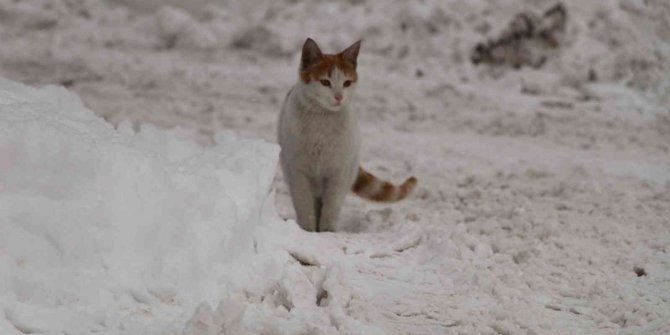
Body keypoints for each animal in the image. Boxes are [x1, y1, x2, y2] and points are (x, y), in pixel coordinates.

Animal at [276, 38, 414, 232]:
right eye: (325, 82)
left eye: (347, 83)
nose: (339, 97)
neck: (322, 121)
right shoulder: (298, 171)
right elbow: (305, 206)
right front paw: (308, 230)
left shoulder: (338, 172)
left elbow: (331, 207)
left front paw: (327, 232)